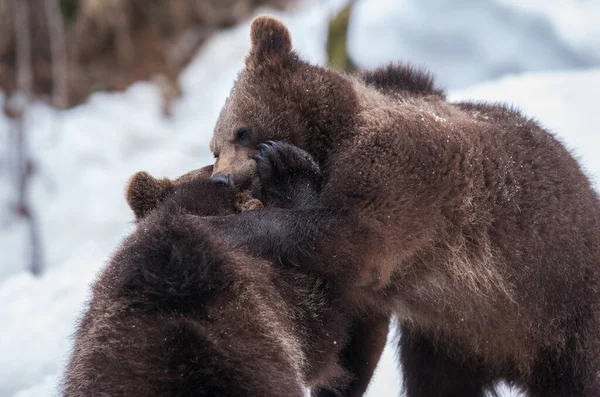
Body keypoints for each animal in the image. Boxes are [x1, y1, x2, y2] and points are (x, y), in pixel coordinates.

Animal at [203, 15, 600, 396]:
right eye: (214, 148)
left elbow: (350, 237)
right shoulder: (393, 298)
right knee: (437, 382)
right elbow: (352, 342)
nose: (220, 180)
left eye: (241, 131)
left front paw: (260, 191)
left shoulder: (406, 175)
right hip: (454, 340)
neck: (332, 137)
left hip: (561, 315)